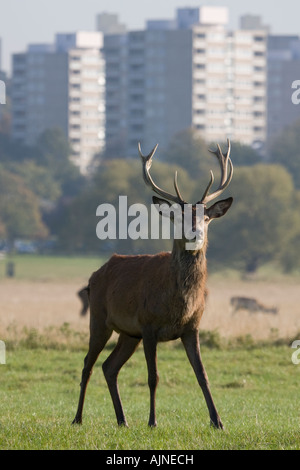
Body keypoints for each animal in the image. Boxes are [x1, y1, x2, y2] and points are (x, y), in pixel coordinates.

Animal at [71, 140, 233, 430]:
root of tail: (93, 277)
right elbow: (153, 376)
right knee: (88, 363)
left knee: (109, 367)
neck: (178, 303)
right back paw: (77, 418)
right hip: (99, 318)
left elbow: (202, 374)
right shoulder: (148, 325)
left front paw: (218, 421)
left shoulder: (192, 327)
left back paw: (122, 419)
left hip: (127, 333)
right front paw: (152, 421)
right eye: (179, 218)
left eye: (205, 218)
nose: (195, 234)